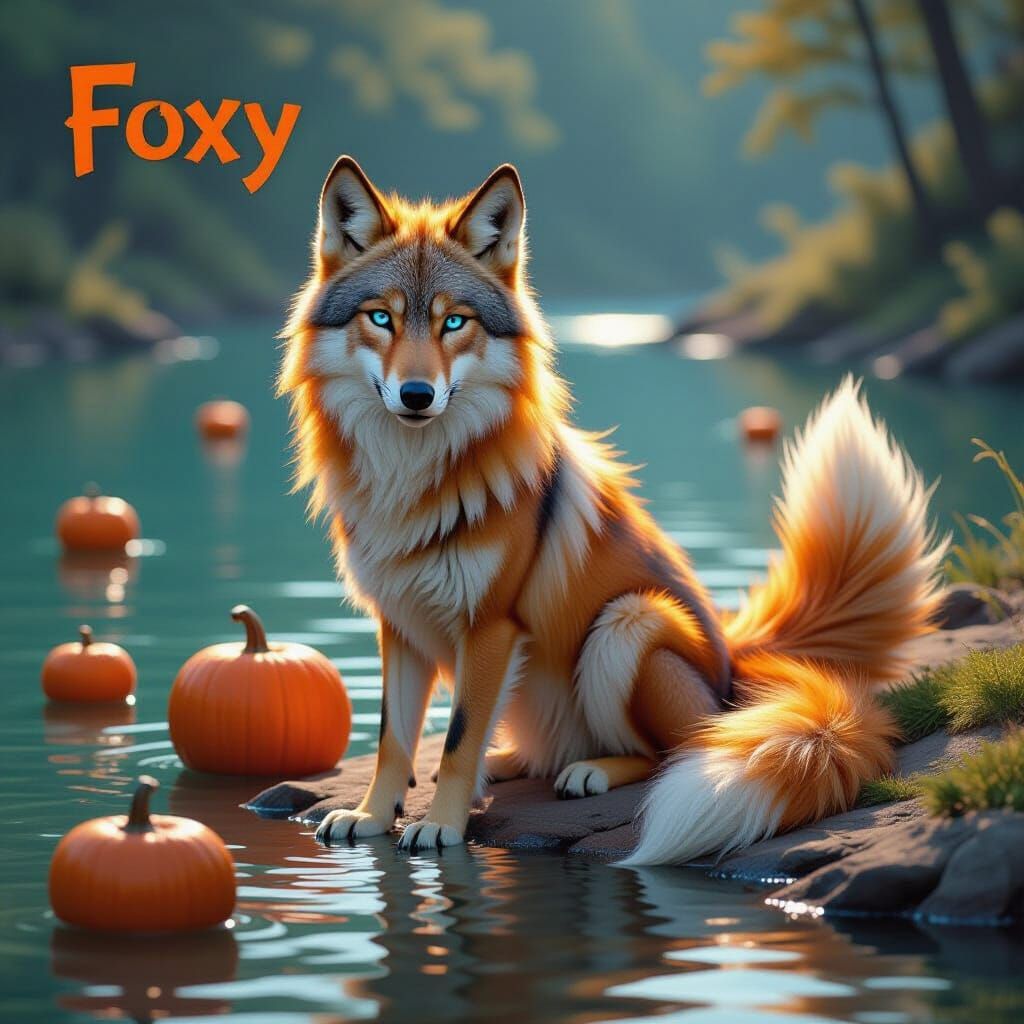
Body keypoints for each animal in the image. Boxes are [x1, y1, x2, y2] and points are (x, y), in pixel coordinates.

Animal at [278, 156, 944, 862]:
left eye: (454, 323)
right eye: (381, 318)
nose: (416, 394)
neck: (412, 486)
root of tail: (738, 660)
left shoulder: (491, 626)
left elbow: (457, 740)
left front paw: (442, 826)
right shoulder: (400, 625)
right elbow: (393, 740)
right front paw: (372, 815)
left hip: (626, 625)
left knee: (678, 751)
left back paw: (592, 771)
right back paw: (512, 760)